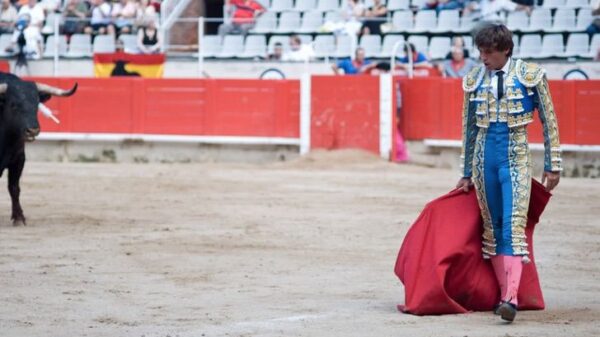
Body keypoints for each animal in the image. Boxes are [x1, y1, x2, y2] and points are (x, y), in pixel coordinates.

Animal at [0, 73, 77, 226]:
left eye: (37, 104)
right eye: (13, 105)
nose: (33, 130)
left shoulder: (19, 159)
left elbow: (14, 187)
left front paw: (19, 218)